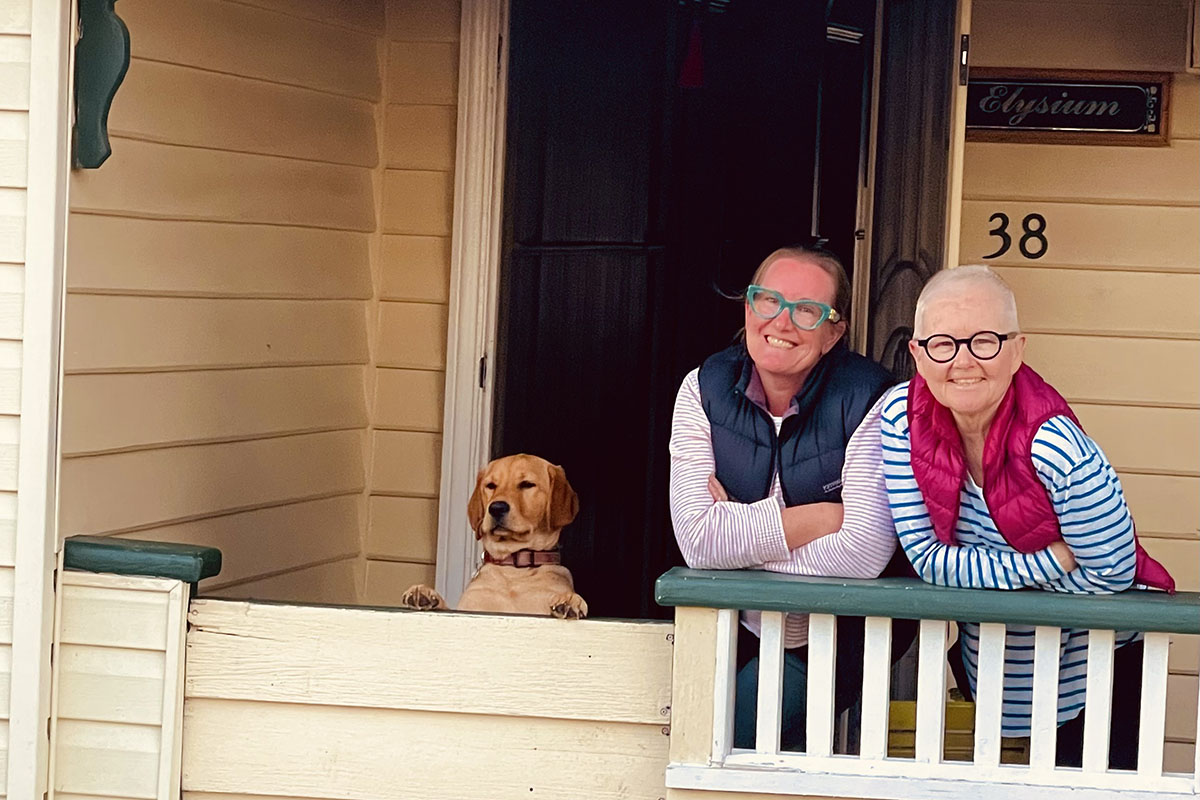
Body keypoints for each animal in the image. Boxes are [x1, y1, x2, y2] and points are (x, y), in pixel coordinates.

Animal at [400, 455, 588, 618]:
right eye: (491, 485)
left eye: (527, 484)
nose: (496, 508)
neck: (513, 571)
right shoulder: (467, 609)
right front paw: (424, 592)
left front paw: (570, 600)